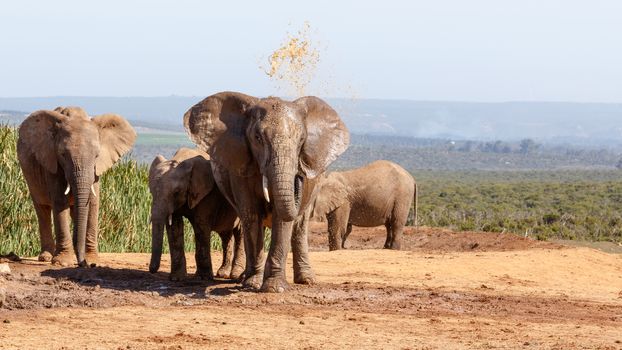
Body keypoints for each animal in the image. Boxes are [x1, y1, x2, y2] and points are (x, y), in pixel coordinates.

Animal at [18, 105, 136, 266]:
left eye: (97, 155)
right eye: (62, 154)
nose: (84, 264)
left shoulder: (96, 171)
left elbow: (93, 204)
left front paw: (93, 261)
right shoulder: (52, 163)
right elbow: (60, 202)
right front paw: (62, 263)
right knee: (42, 209)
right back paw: (46, 257)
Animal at [147, 148, 245, 282]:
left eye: (176, 192)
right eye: (151, 191)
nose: (151, 270)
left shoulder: (207, 194)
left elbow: (201, 225)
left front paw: (202, 278)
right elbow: (174, 227)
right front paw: (176, 279)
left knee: (240, 233)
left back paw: (235, 275)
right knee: (226, 235)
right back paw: (222, 274)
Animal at [184, 91, 352, 292]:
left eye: (301, 141)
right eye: (257, 138)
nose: (299, 177)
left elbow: (282, 218)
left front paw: (274, 288)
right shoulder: (240, 166)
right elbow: (251, 214)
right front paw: (252, 284)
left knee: (300, 226)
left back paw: (307, 280)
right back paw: (243, 278)